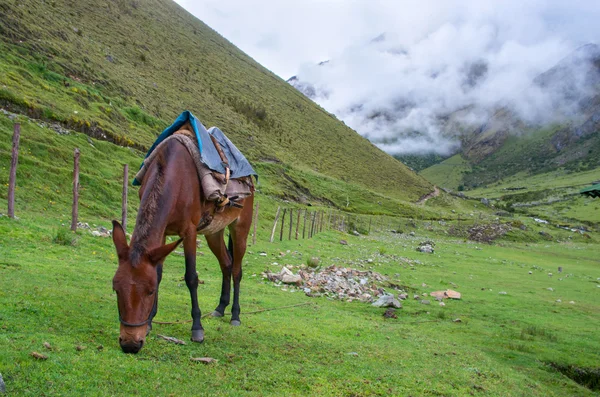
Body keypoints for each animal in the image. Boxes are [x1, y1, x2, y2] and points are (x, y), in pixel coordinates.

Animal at [110, 129, 253, 352]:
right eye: (116, 289)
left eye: (149, 292)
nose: (130, 344)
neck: (173, 175)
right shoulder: (162, 234)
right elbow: (159, 273)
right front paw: (149, 323)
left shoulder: (189, 231)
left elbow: (191, 278)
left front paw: (197, 329)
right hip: (214, 232)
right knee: (226, 264)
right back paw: (220, 307)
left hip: (240, 229)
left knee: (237, 270)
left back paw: (235, 315)